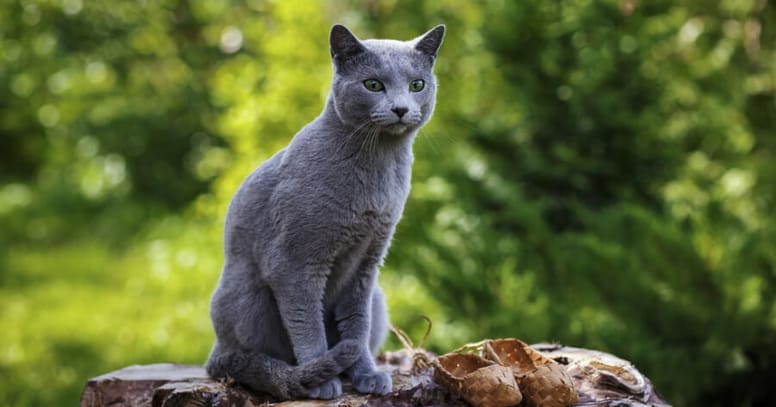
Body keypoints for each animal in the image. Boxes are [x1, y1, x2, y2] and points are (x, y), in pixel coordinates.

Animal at [206, 23, 446, 400]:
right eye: (373, 84)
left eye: (417, 85)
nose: (400, 108)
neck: (378, 166)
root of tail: (215, 352)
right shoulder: (294, 263)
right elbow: (307, 325)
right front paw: (321, 382)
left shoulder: (367, 263)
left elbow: (357, 326)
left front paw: (366, 375)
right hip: (247, 294)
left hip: (379, 298)